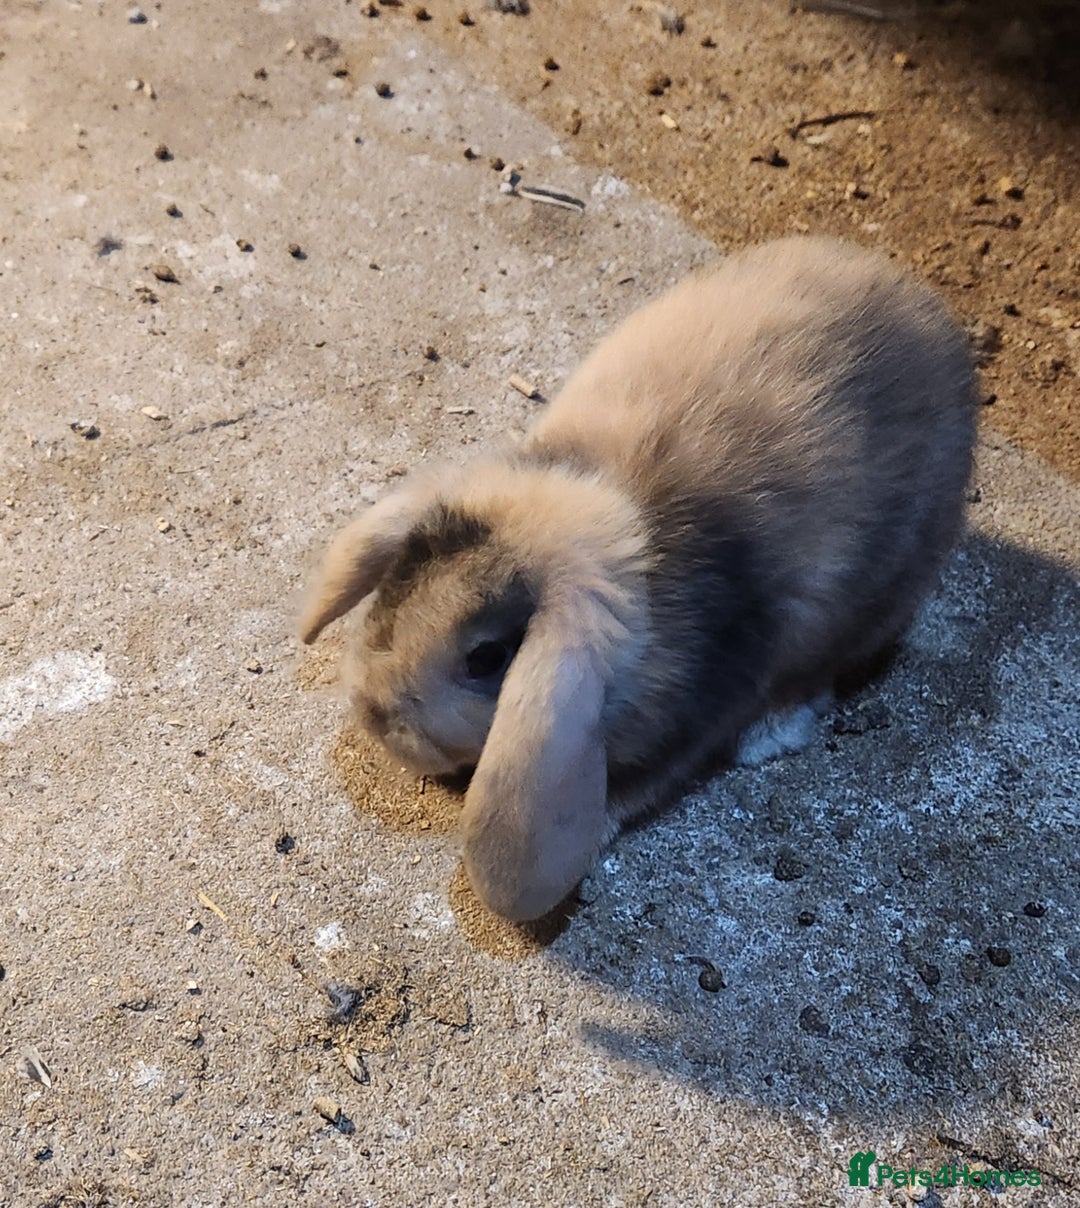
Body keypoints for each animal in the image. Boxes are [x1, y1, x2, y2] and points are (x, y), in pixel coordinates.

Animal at [299, 236, 977, 922]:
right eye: (397, 585)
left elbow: (646, 780)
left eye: (487, 657)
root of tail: (934, 319)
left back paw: (770, 733)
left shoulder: (703, 705)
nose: (375, 712)